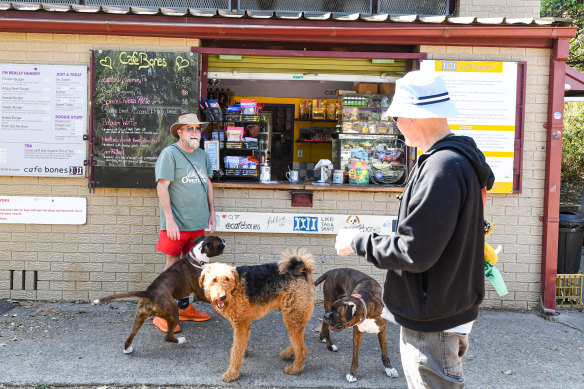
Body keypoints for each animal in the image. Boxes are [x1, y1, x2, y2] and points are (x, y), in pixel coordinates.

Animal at [92, 235, 225, 354]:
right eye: (219, 243)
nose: (224, 240)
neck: (196, 259)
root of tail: (149, 293)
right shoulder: (200, 292)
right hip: (172, 312)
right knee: (167, 337)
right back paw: (181, 340)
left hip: (139, 317)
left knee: (129, 337)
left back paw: (127, 350)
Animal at [203, 247, 318, 380]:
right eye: (214, 280)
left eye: (227, 278)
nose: (222, 297)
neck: (235, 286)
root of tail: (304, 269)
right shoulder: (245, 323)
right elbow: (241, 345)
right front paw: (243, 354)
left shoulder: (241, 324)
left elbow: (236, 350)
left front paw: (231, 374)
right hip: (296, 315)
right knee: (301, 340)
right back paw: (288, 353)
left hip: (292, 317)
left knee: (302, 349)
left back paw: (294, 369)